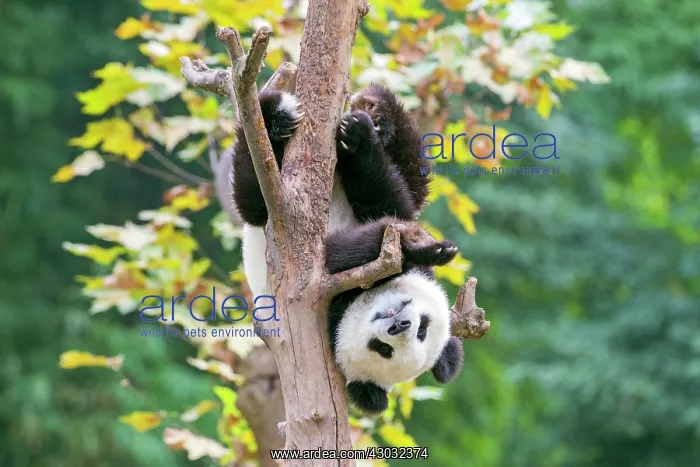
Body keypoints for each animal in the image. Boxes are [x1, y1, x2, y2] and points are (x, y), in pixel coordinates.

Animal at [230, 83, 464, 415]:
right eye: (423, 328)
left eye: (385, 349)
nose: (400, 323)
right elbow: (388, 208)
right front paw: (424, 247)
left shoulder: (328, 297)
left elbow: (339, 250)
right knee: (253, 190)